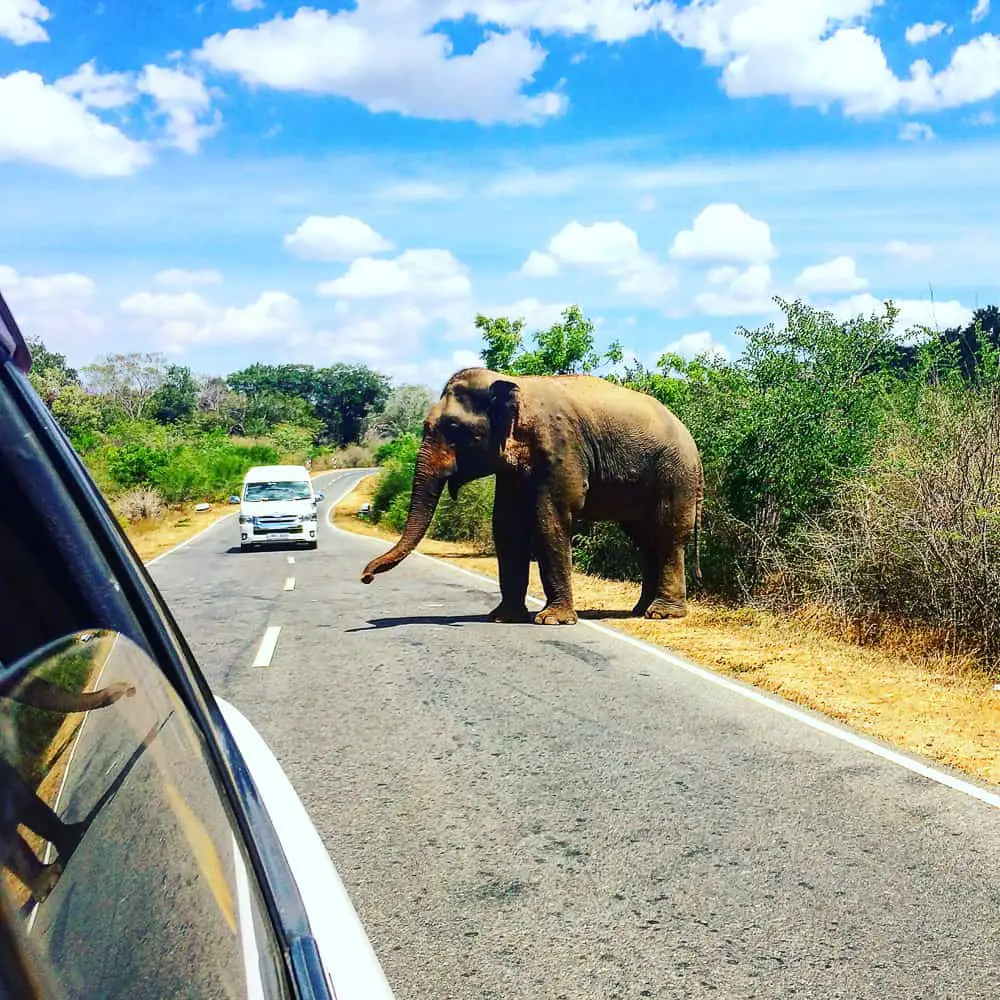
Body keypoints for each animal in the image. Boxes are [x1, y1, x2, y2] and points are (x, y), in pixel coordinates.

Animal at [362, 368, 704, 624]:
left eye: (455, 428)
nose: (366, 577)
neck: (513, 383)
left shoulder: (559, 446)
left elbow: (549, 520)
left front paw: (552, 620)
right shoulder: (512, 468)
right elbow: (506, 525)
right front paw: (503, 617)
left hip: (674, 475)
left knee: (667, 535)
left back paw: (662, 614)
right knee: (644, 539)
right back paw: (640, 610)